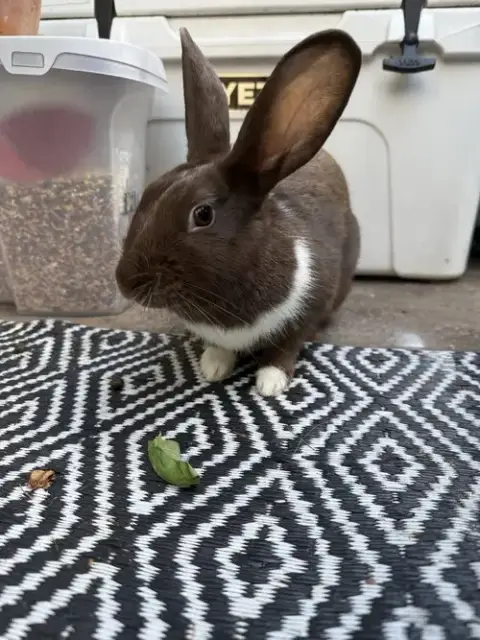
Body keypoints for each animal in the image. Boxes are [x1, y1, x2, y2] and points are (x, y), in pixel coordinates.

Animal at [115, 27, 362, 397]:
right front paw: (213, 366)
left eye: (202, 214)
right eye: (148, 193)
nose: (124, 282)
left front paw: (270, 382)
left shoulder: (309, 308)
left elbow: (286, 346)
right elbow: (220, 347)